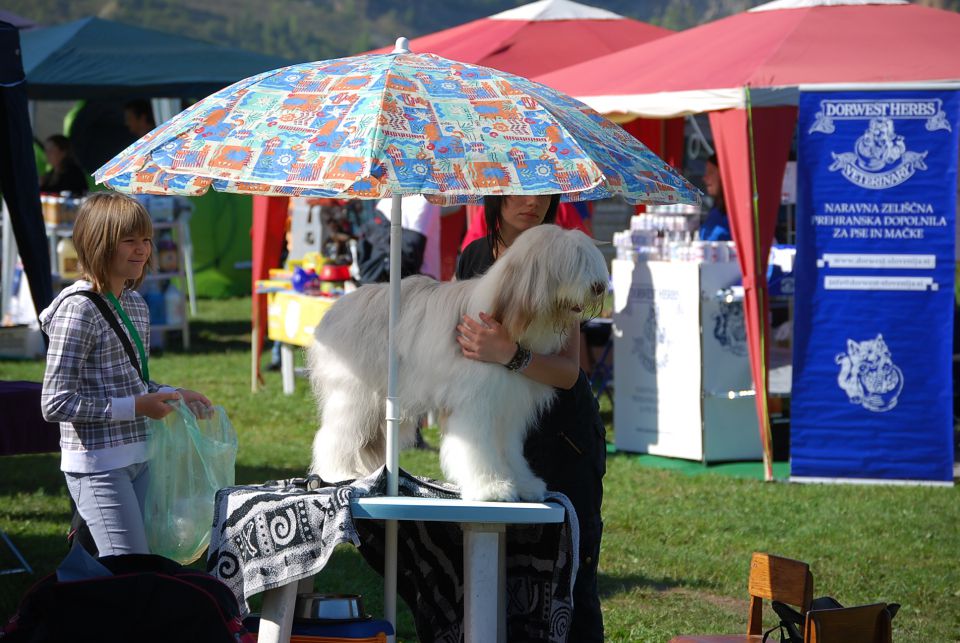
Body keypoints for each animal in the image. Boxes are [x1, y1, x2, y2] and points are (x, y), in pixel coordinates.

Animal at [308, 226, 608, 504]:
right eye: (572, 262)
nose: (600, 287)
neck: (509, 317)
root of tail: (337, 307)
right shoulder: (475, 404)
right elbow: (478, 450)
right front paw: (491, 488)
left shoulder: (508, 407)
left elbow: (509, 451)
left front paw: (523, 485)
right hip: (355, 394)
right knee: (337, 434)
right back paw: (338, 472)